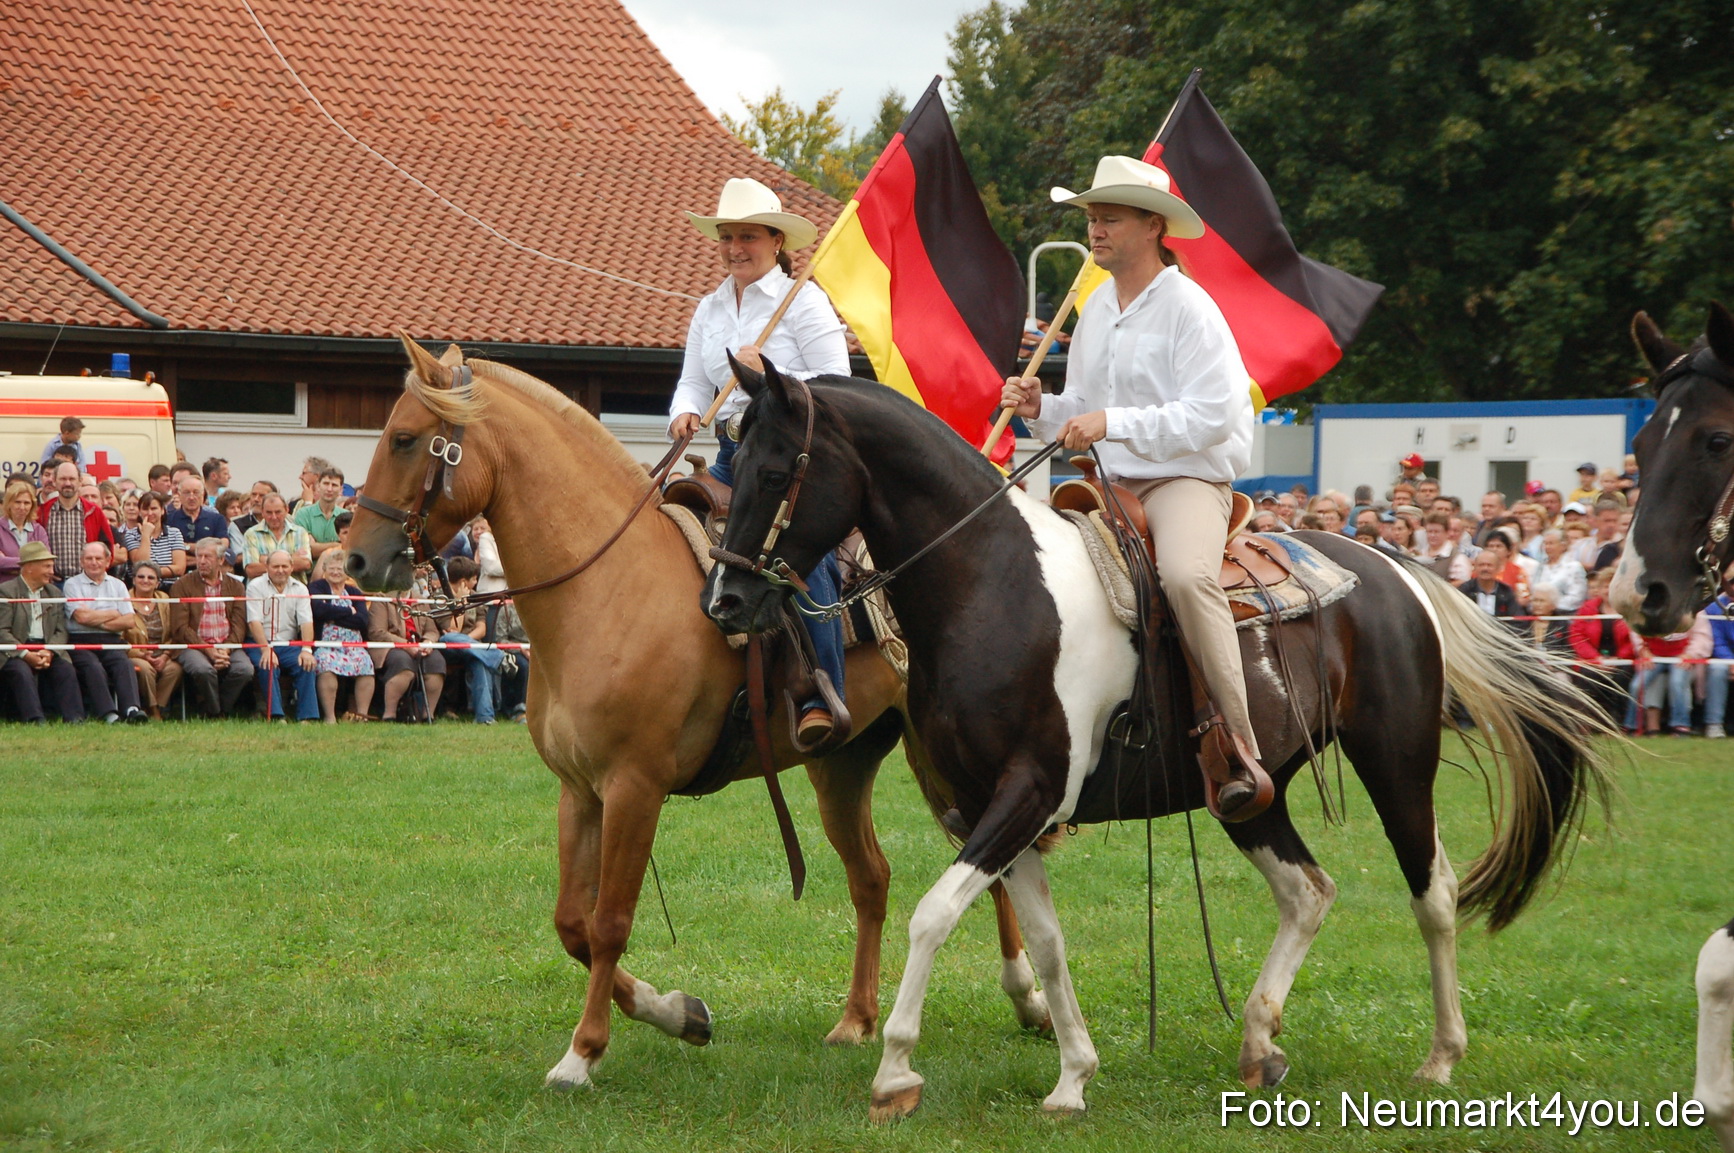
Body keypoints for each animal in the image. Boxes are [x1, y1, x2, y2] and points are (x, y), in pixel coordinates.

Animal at [344, 337, 1050, 1092]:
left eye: (405, 439)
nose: (356, 558)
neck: (604, 586)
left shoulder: (635, 787)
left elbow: (610, 921)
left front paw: (583, 1053)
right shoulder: (579, 790)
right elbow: (572, 923)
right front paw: (680, 1012)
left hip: (947, 757)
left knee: (986, 860)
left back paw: (1028, 998)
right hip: (843, 765)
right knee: (873, 876)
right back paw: (857, 1019)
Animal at [705, 360, 1613, 1120]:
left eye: (776, 470)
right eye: (729, 468)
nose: (725, 599)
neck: (993, 584)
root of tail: (1394, 567)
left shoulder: (1029, 789)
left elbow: (933, 914)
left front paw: (895, 1070)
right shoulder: (989, 804)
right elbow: (1046, 939)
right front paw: (1072, 1075)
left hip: (1397, 764)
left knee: (1434, 893)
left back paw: (1439, 1055)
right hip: (1247, 792)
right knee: (1308, 890)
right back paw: (1258, 1041)